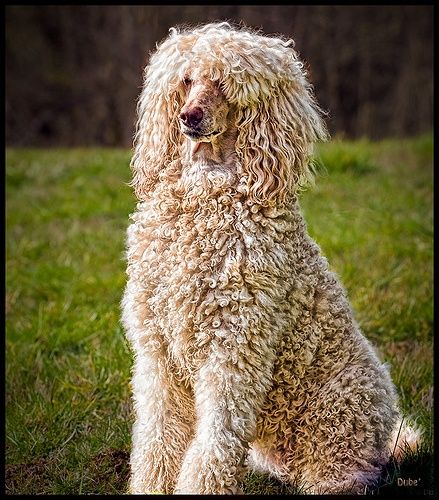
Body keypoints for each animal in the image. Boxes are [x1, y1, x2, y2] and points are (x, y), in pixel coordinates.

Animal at [121, 21, 422, 494]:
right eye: (186, 80)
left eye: (225, 83)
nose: (189, 117)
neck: (206, 197)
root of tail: (389, 437)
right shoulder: (158, 355)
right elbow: (157, 440)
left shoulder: (234, 351)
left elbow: (212, 448)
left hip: (335, 423)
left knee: (345, 475)